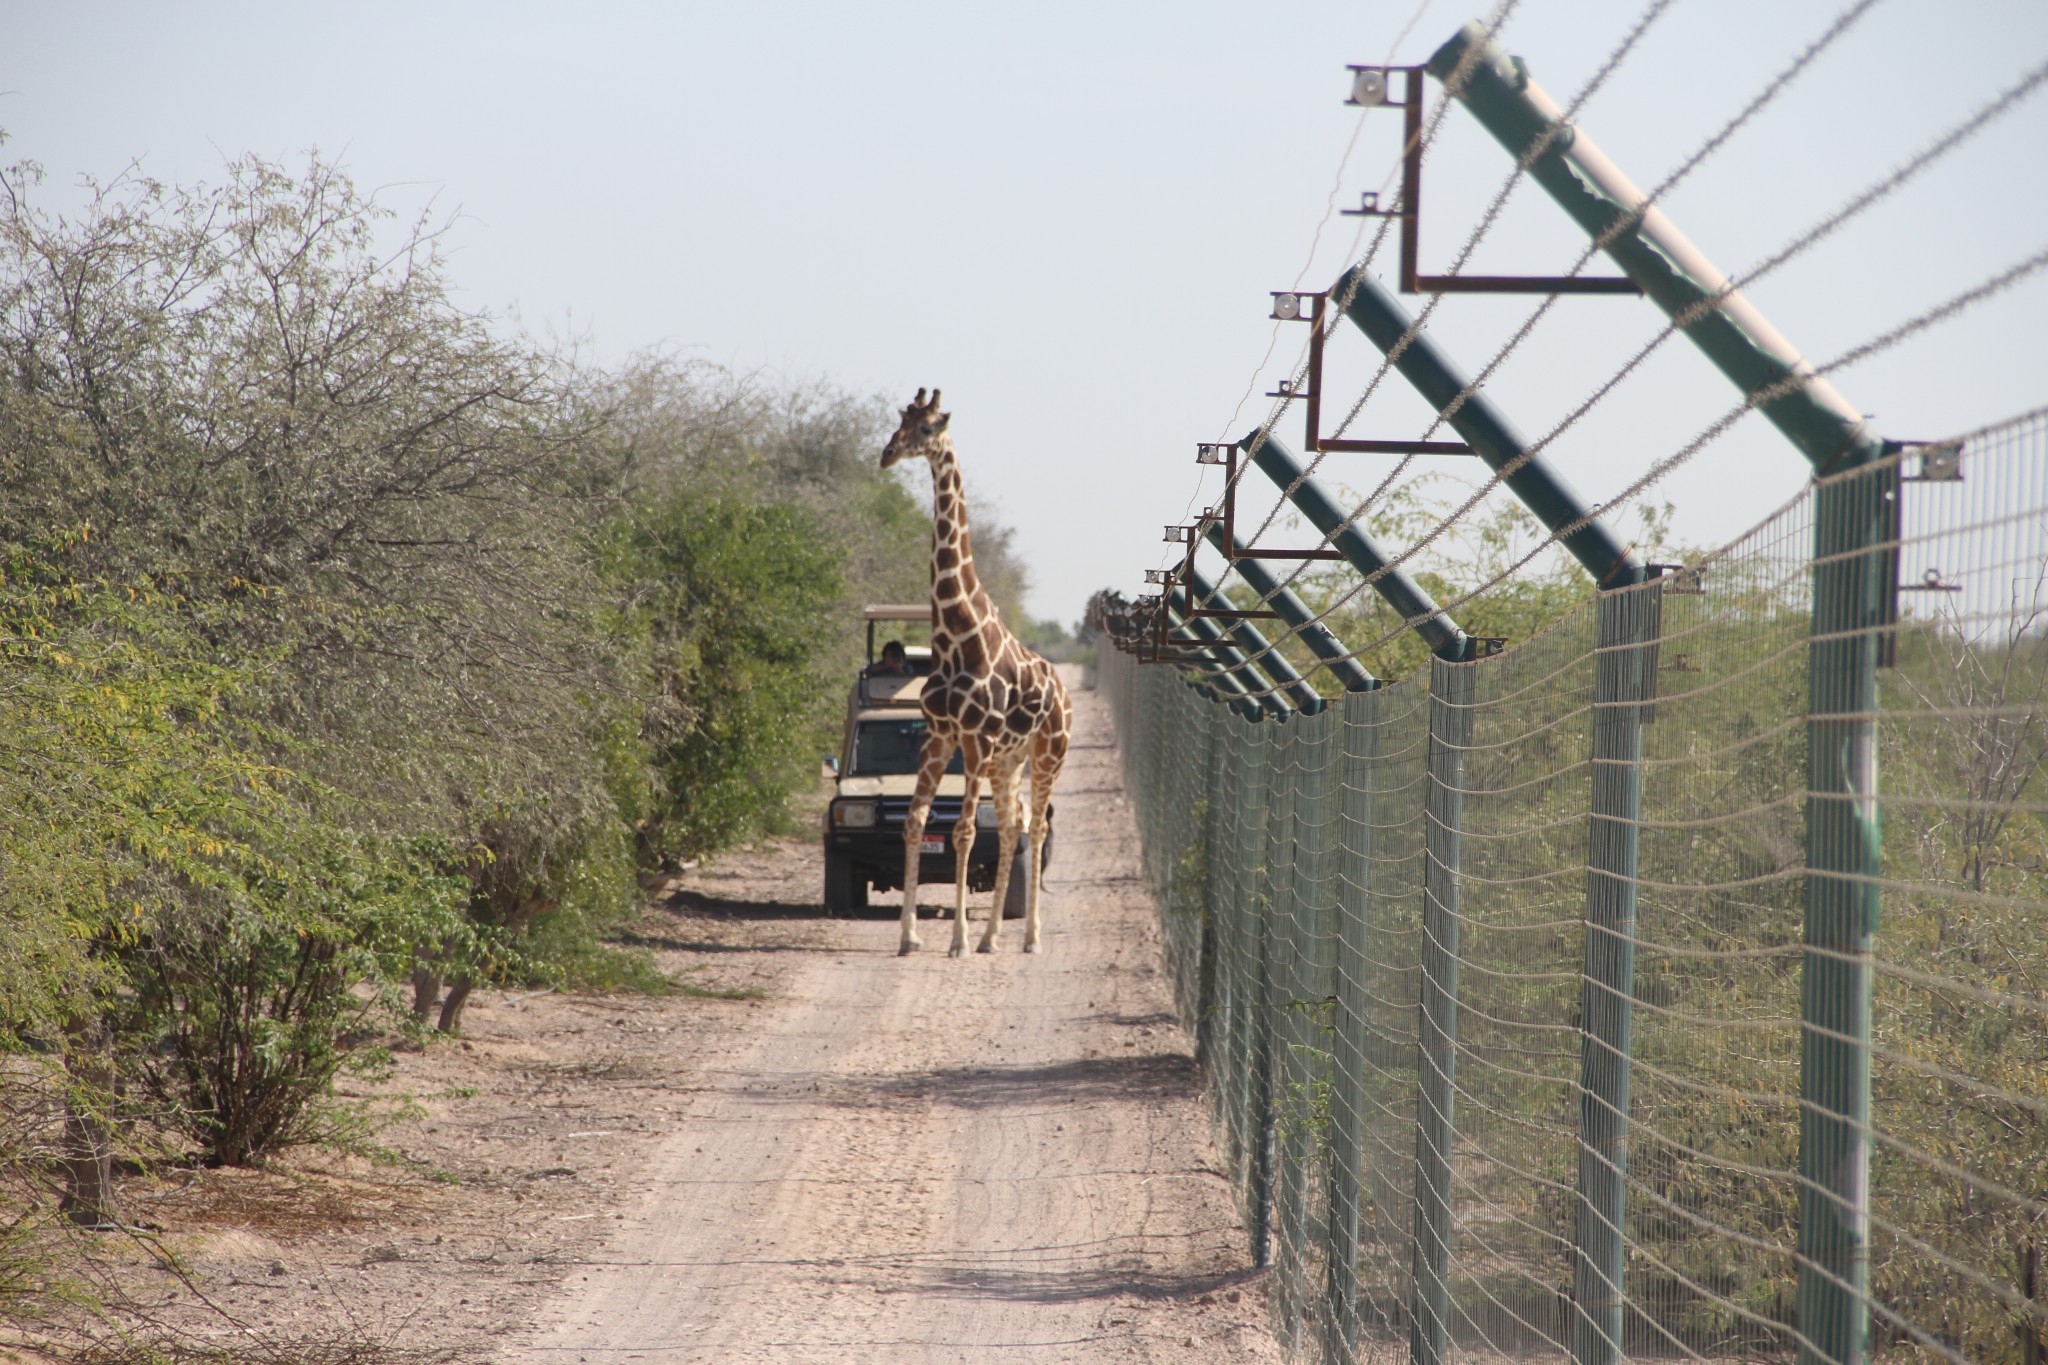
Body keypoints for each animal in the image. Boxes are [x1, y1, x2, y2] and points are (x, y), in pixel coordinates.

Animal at [880, 388, 1073, 957]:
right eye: (898, 423)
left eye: (928, 429)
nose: (887, 455)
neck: (954, 635)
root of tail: (1066, 692)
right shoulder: (940, 735)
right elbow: (916, 822)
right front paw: (910, 937)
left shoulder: (976, 738)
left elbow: (964, 831)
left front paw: (957, 941)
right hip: (1009, 761)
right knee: (1013, 827)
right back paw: (992, 939)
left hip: (1047, 755)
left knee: (1035, 826)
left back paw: (1029, 938)